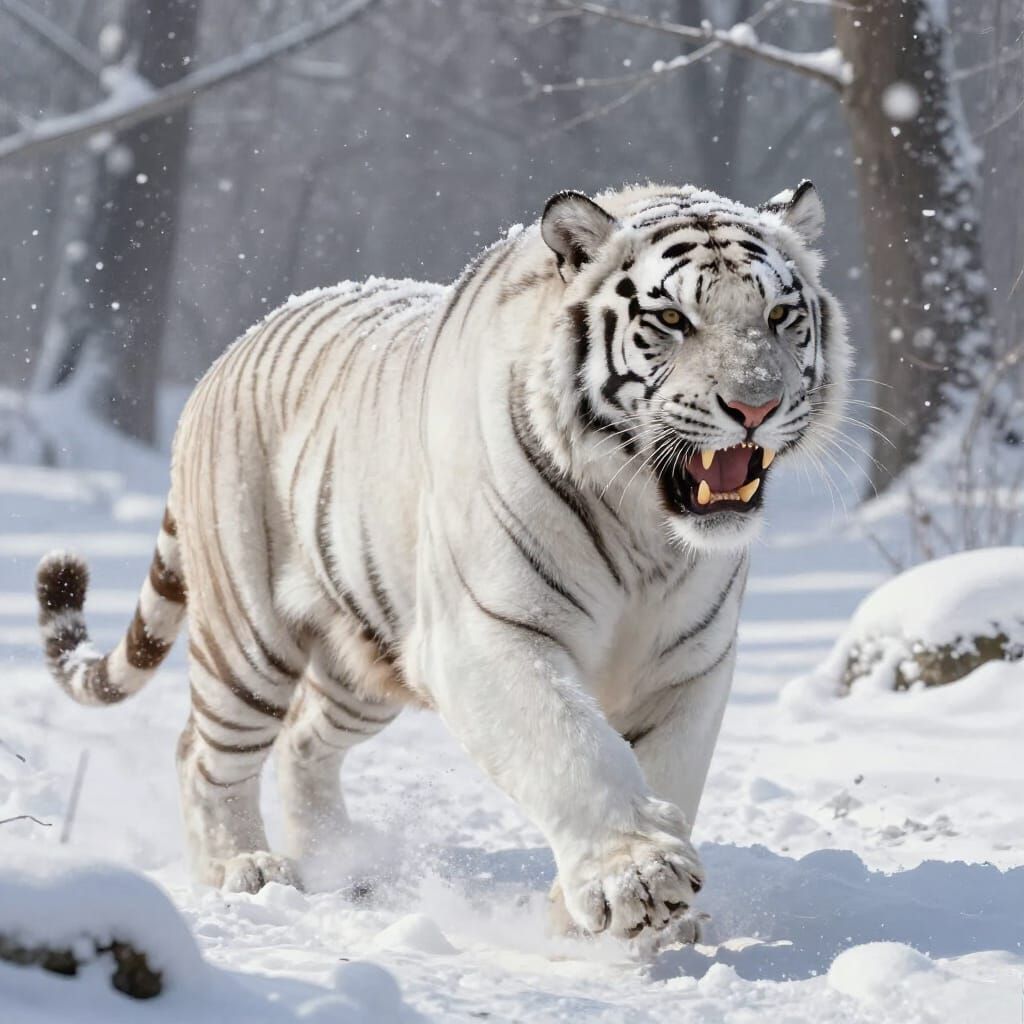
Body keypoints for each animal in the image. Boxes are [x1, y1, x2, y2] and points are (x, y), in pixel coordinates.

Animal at [37, 181, 848, 942]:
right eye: (673, 320)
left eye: (780, 316)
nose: (756, 406)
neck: (647, 528)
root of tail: (230, 353)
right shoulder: (487, 633)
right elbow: (572, 749)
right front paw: (636, 880)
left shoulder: (689, 663)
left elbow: (666, 768)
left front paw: (611, 914)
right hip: (248, 637)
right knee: (204, 754)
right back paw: (244, 869)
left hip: (366, 661)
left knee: (302, 740)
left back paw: (337, 858)